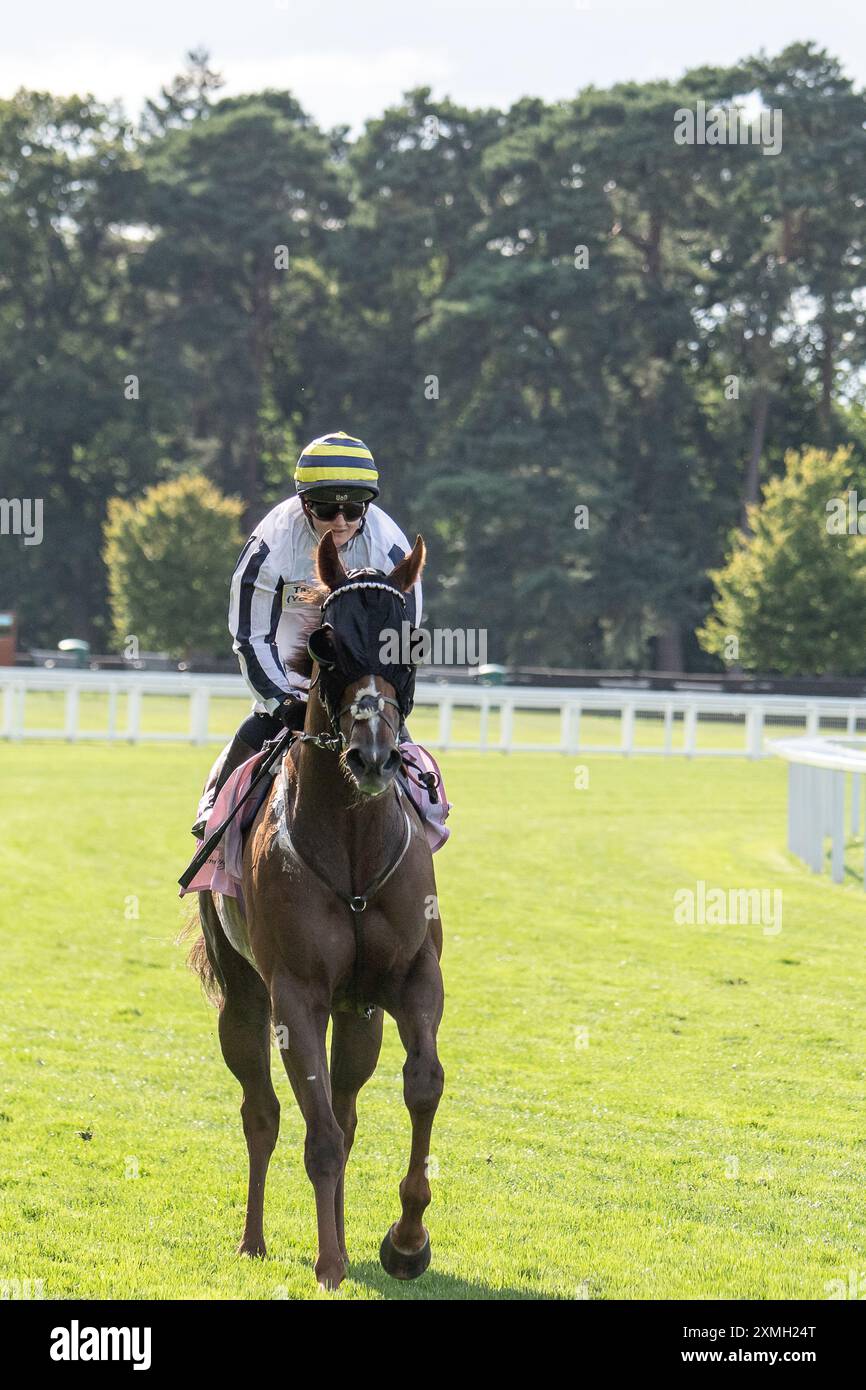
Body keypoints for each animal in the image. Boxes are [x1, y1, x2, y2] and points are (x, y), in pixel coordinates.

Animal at [190, 530, 447, 1289]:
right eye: (328, 643)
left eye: (410, 641)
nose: (373, 755)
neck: (353, 855)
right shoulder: (296, 993)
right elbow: (319, 1133)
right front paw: (330, 1263)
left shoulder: (409, 977)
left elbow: (421, 1085)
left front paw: (406, 1242)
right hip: (243, 997)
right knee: (264, 1112)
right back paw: (255, 1240)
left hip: (357, 1011)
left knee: (347, 1104)